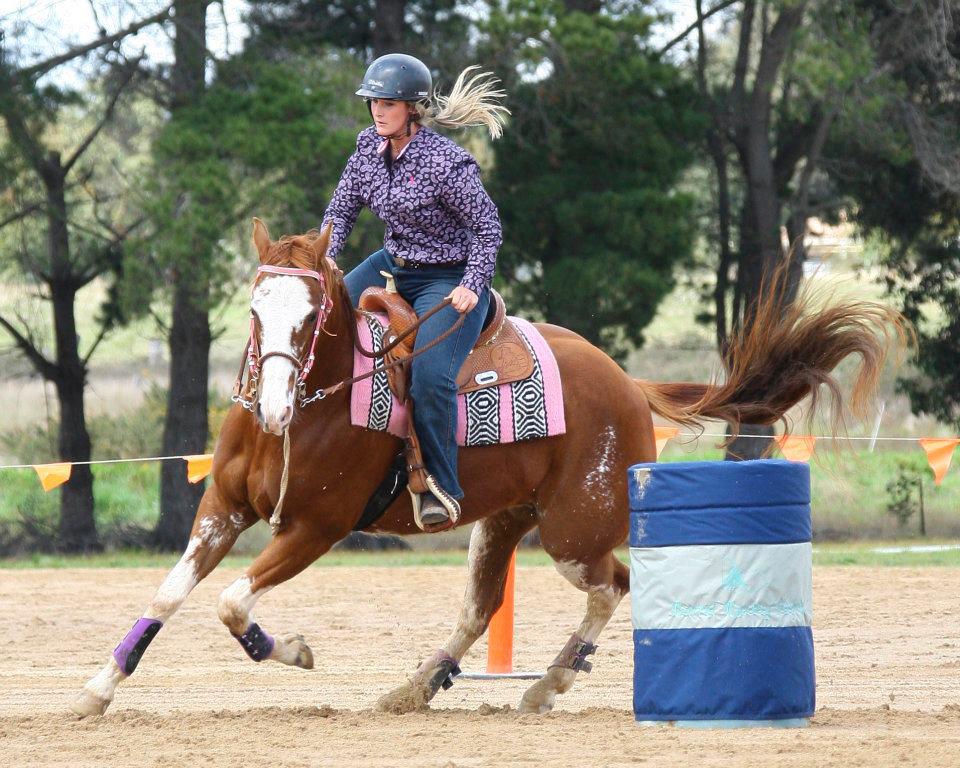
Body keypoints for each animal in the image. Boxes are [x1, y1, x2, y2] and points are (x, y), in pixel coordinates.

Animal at [73, 222, 900, 720]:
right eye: (253, 310)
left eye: (311, 319)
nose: (272, 406)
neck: (318, 403)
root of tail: (626, 382)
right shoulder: (221, 506)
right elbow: (172, 593)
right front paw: (97, 689)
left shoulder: (316, 528)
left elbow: (232, 603)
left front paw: (294, 650)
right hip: (503, 519)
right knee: (480, 608)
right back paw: (415, 687)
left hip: (573, 530)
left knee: (613, 584)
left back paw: (546, 684)